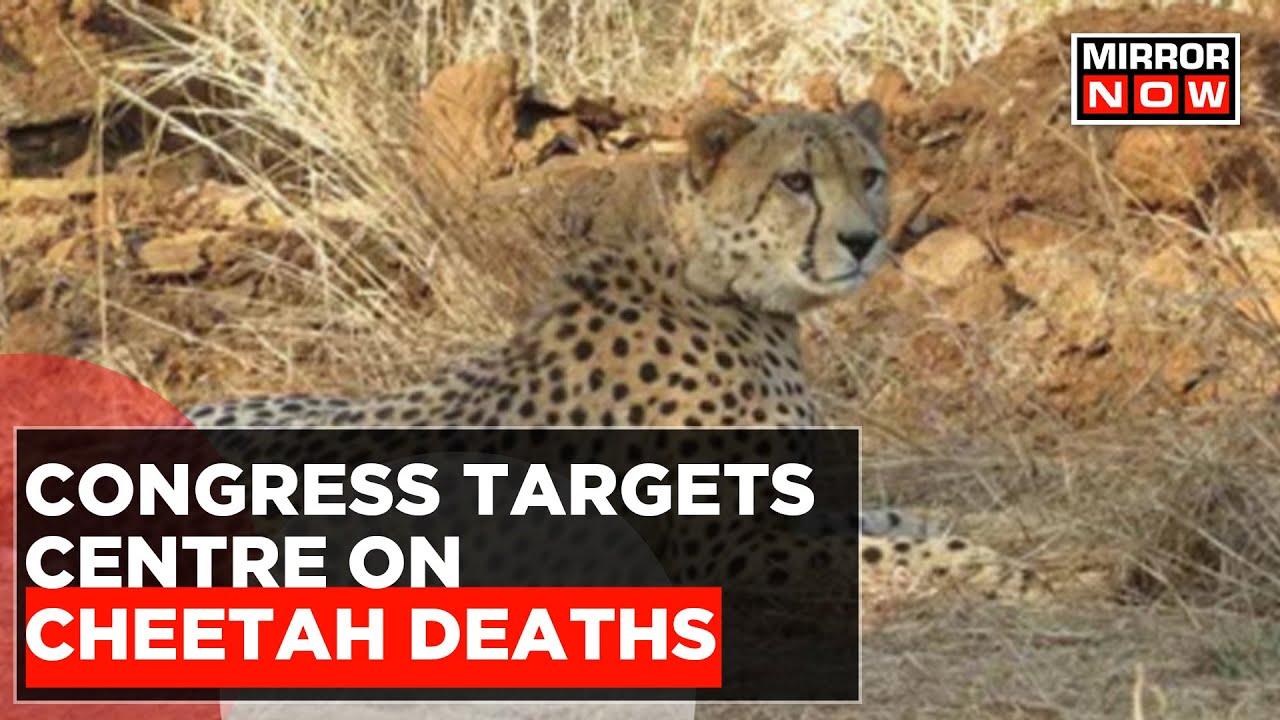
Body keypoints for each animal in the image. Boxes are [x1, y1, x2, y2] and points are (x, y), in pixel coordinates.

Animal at [187, 101, 1044, 614]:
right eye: (796, 182)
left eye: (869, 175)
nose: (864, 242)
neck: (723, 290)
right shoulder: (730, 550)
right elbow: (883, 544)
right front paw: (993, 570)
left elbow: (897, 516)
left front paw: (994, 544)